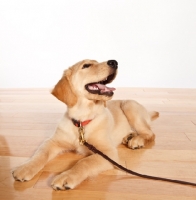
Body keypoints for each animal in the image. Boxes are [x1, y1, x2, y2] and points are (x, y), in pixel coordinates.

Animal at [12, 59, 158, 191]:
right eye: (86, 65)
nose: (114, 62)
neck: (82, 121)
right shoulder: (52, 141)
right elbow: (40, 154)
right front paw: (25, 168)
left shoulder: (108, 152)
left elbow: (84, 162)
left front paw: (66, 177)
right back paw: (129, 136)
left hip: (129, 105)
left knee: (150, 133)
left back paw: (137, 140)